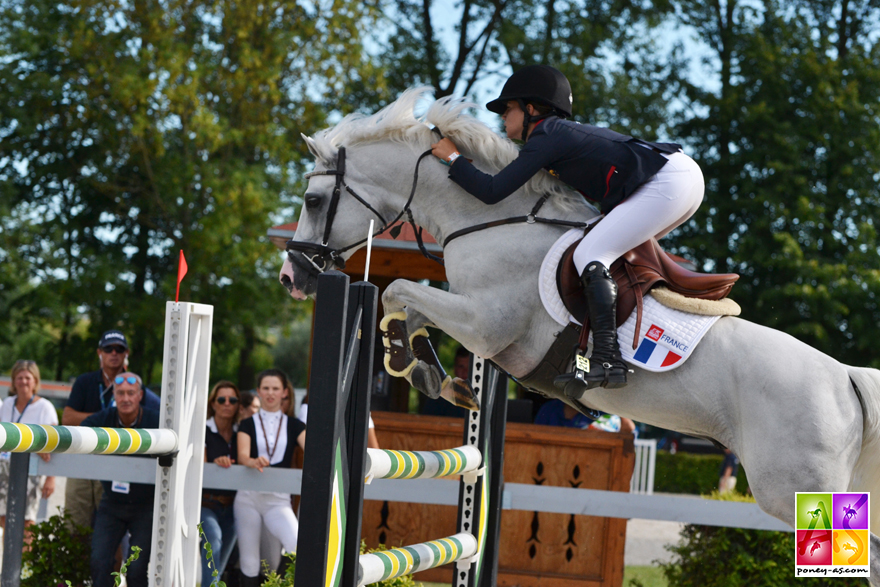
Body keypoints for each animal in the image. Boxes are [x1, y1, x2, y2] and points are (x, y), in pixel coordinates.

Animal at [280, 88, 880, 580]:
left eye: (312, 201)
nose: (293, 278)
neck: (489, 222)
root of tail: (846, 378)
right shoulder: (471, 317)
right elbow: (404, 305)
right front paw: (435, 374)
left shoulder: (485, 325)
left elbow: (398, 290)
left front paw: (421, 366)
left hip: (796, 486)